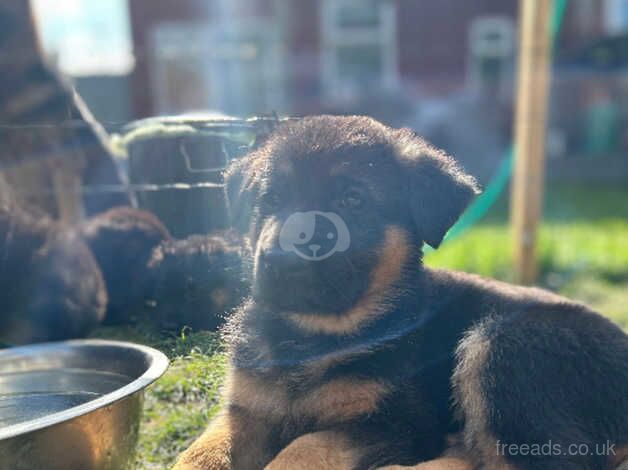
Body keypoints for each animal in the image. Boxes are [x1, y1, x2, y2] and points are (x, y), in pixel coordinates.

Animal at [174, 114, 628, 470]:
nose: (280, 261)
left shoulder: (399, 422)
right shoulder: (245, 411)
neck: (312, 336)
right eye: (271, 198)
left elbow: (307, 446)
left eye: (353, 199)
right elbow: (200, 452)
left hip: (504, 344)